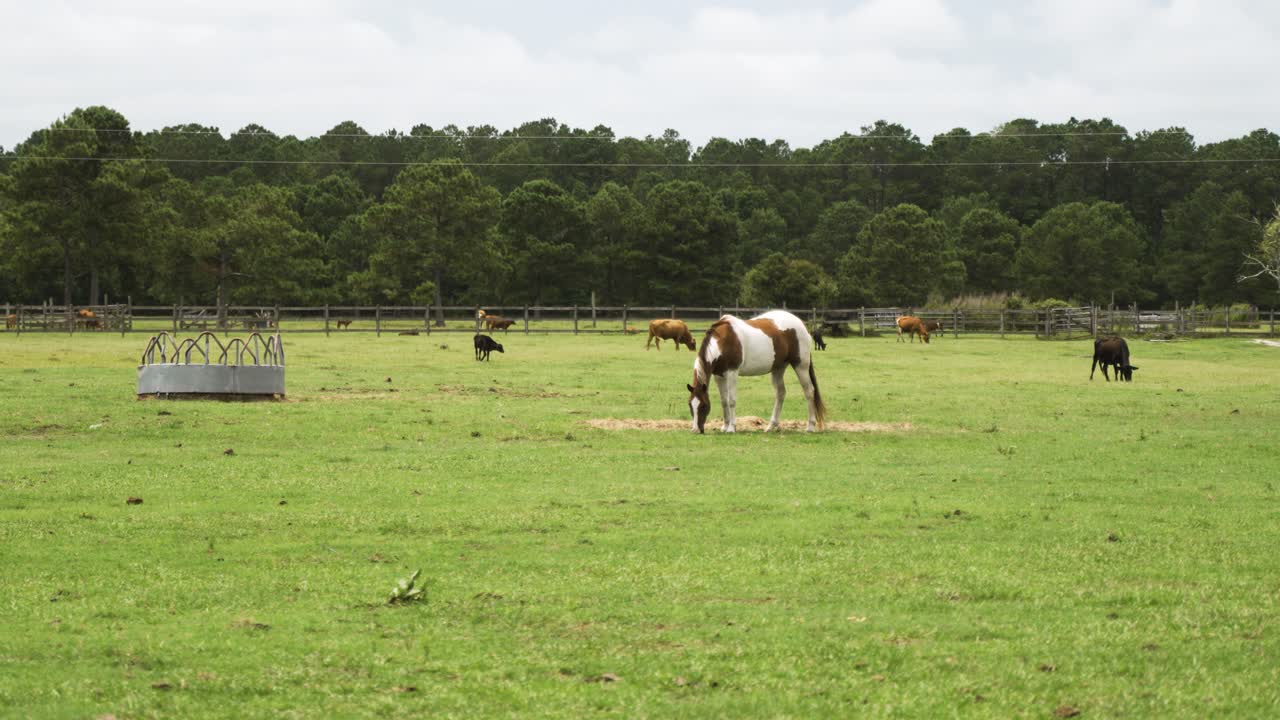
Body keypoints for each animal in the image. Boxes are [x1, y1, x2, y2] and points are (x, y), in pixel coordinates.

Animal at [686, 310, 826, 433]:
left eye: (704, 406)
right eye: (690, 405)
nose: (695, 430)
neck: (722, 341)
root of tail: (801, 324)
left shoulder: (732, 372)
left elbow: (731, 400)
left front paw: (731, 428)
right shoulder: (718, 376)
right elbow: (724, 401)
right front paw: (725, 426)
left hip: (801, 366)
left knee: (809, 391)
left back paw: (810, 426)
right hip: (778, 369)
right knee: (780, 393)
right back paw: (771, 426)